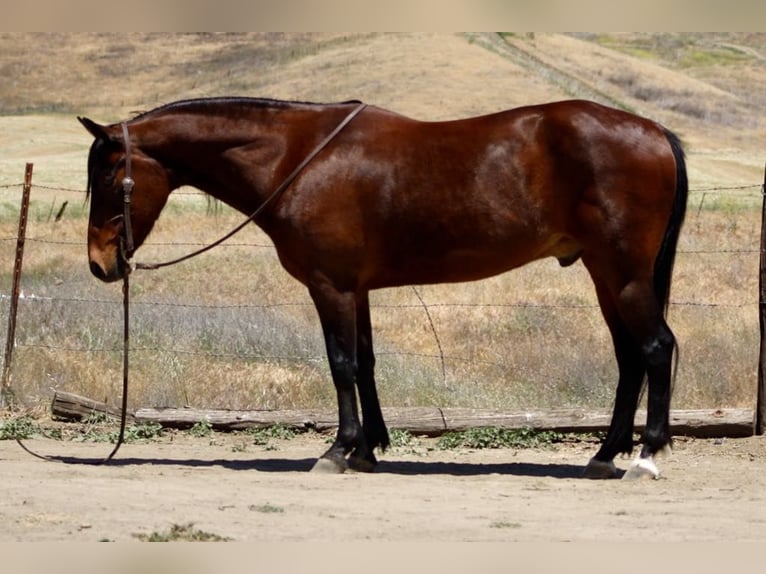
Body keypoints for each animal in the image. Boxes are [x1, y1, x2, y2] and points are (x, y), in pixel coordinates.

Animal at [79, 96, 687, 479]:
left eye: (109, 176)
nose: (100, 264)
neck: (297, 157)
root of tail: (655, 132)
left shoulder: (330, 286)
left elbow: (341, 363)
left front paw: (338, 450)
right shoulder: (359, 288)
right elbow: (365, 362)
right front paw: (369, 450)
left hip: (624, 274)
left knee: (656, 348)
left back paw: (645, 457)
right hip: (605, 275)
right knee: (630, 358)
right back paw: (605, 455)